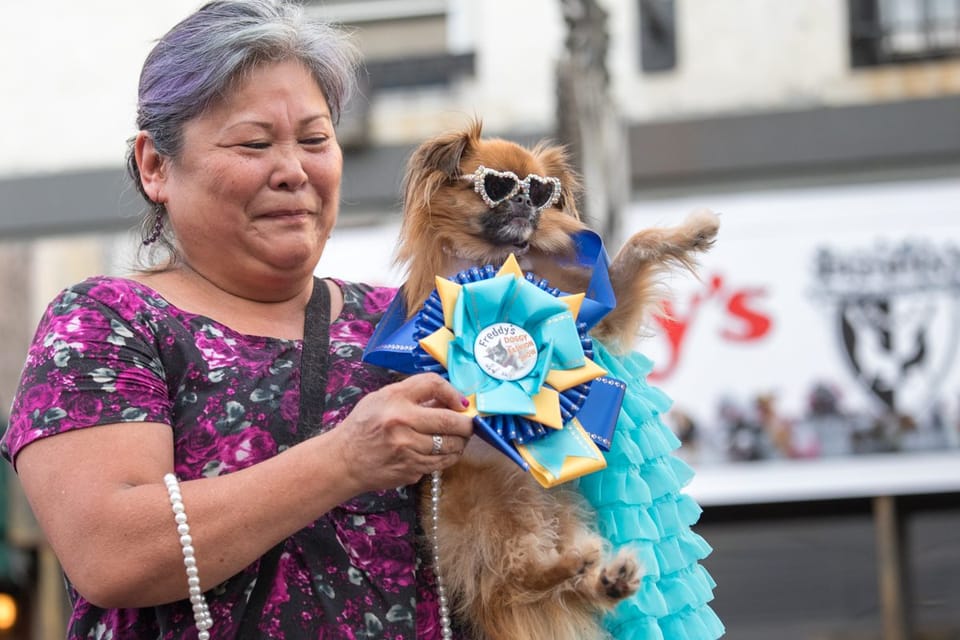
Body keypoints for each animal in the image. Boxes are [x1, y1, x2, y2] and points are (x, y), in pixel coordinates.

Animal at [394, 119, 716, 636]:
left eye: (542, 192)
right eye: (497, 187)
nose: (528, 204)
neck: (502, 266)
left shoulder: (598, 320)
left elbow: (637, 244)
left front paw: (693, 231)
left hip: (557, 509)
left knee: (561, 585)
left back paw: (608, 578)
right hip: (496, 512)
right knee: (518, 575)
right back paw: (575, 567)